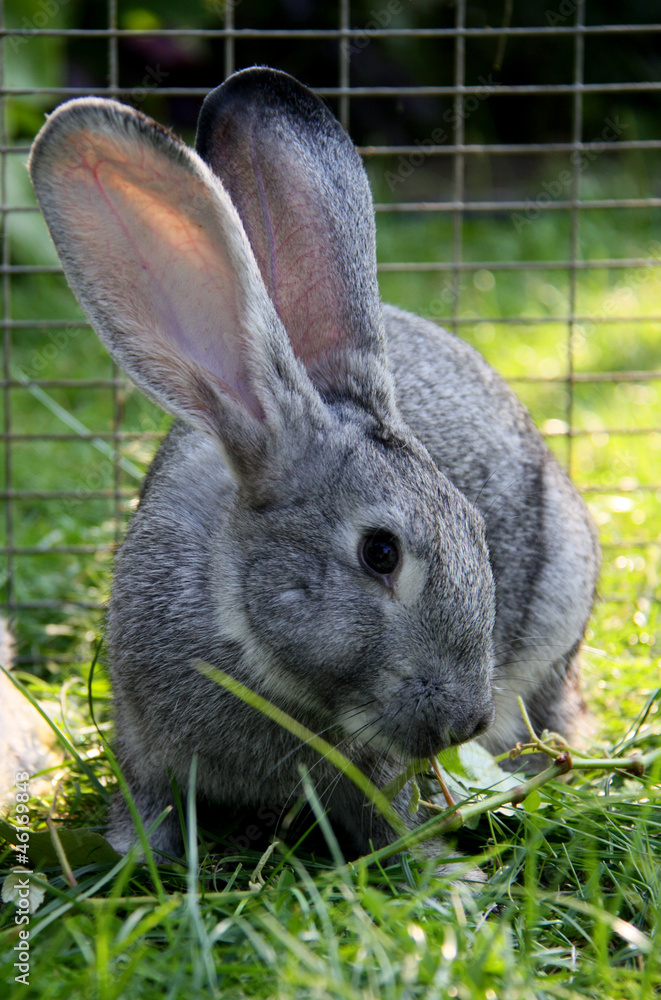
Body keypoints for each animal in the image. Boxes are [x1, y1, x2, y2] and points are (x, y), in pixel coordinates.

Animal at [28, 67, 600, 865]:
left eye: (476, 528)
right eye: (380, 553)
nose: (465, 722)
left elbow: (389, 817)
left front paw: (443, 875)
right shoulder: (142, 741)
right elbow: (146, 805)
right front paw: (136, 854)